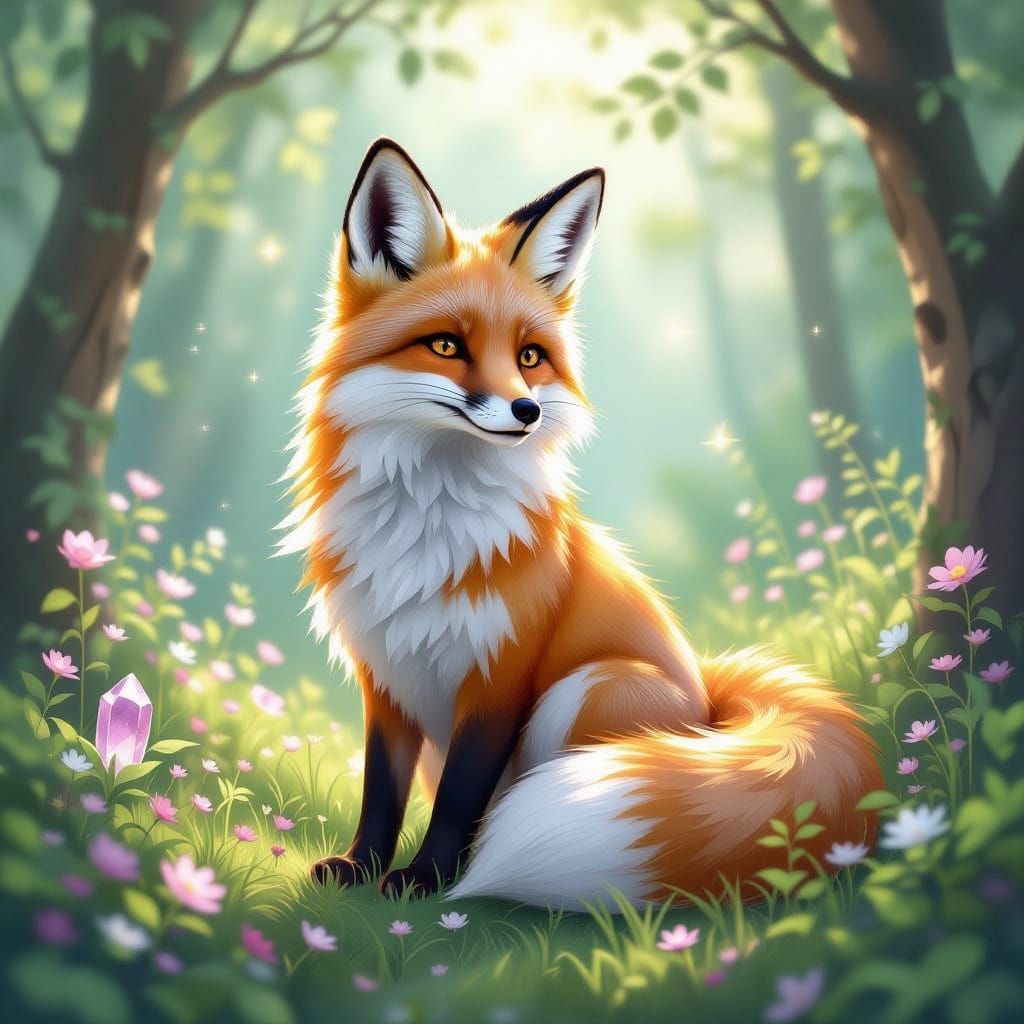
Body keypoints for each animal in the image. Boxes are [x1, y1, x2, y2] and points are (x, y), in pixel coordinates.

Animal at [280, 137, 882, 909]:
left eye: (530, 357)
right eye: (446, 345)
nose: (526, 410)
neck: (427, 530)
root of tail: (708, 703)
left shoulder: (501, 676)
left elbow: (458, 797)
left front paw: (428, 879)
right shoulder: (384, 674)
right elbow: (380, 790)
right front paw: (361, 868)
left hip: (588, 690)